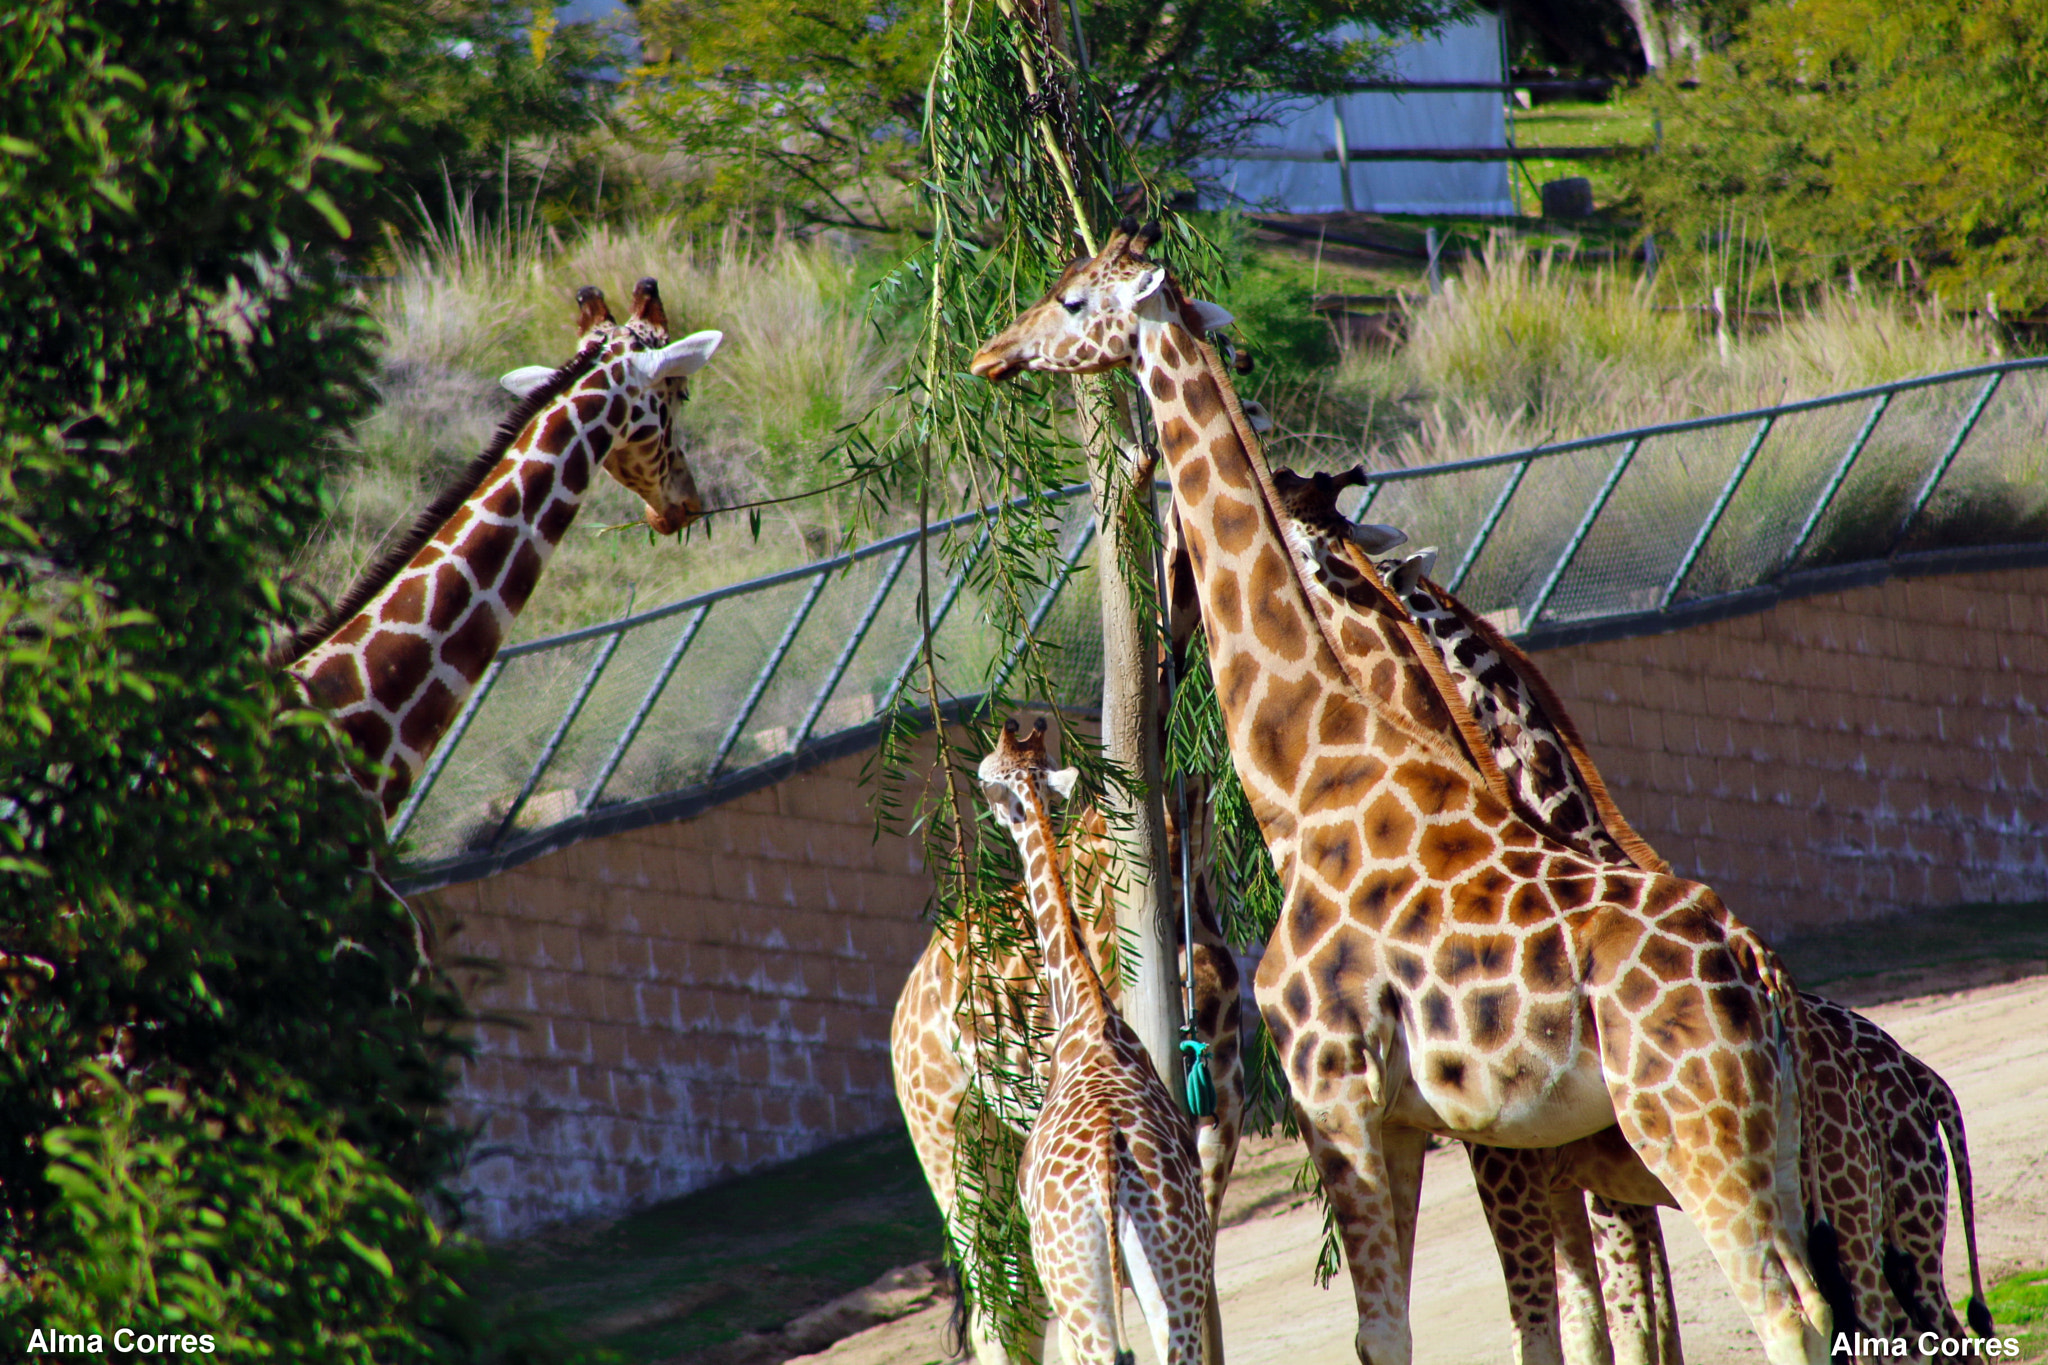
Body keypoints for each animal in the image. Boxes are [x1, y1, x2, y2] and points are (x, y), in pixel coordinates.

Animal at [976, 718, 1216, 1365]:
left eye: (986, 773)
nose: (986, 804)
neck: (1084, 1008)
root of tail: (1112, 1164)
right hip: (1178, 1261)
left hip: (1076, 1286)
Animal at [1267, 467, 1994, 1360]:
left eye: (1317, 544)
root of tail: (1929, 1086)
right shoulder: (1595, 1184)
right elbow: (1636, 1326)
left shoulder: (1566, 1179)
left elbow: (1619, 1325)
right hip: (1883, 1218)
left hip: (1850, 1205)